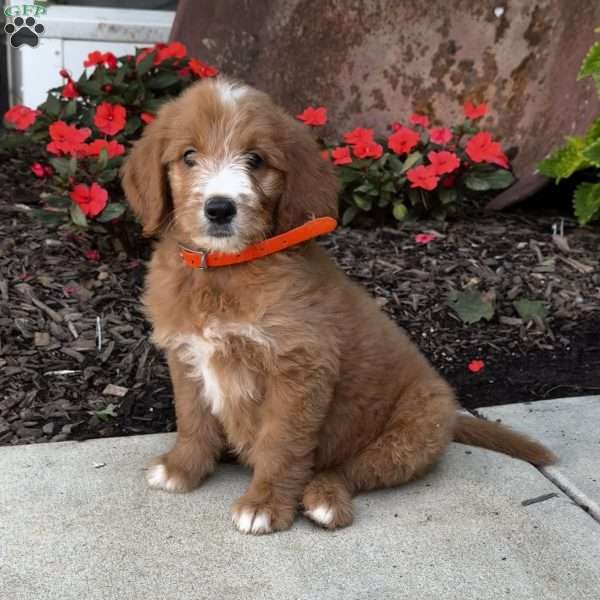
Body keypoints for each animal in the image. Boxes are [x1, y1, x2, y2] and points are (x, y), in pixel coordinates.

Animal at [122, 78, 556, 536]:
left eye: (255, 160)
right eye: (189, 156)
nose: (219, 208)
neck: (223, 271)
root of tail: (452, 415)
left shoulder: (300, 368)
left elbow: (281, 443)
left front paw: (265, 504)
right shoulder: (187, 356)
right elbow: (192, 420)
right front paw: (181, 468)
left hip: (414, 432)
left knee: (352, 469)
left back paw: (325, 498)